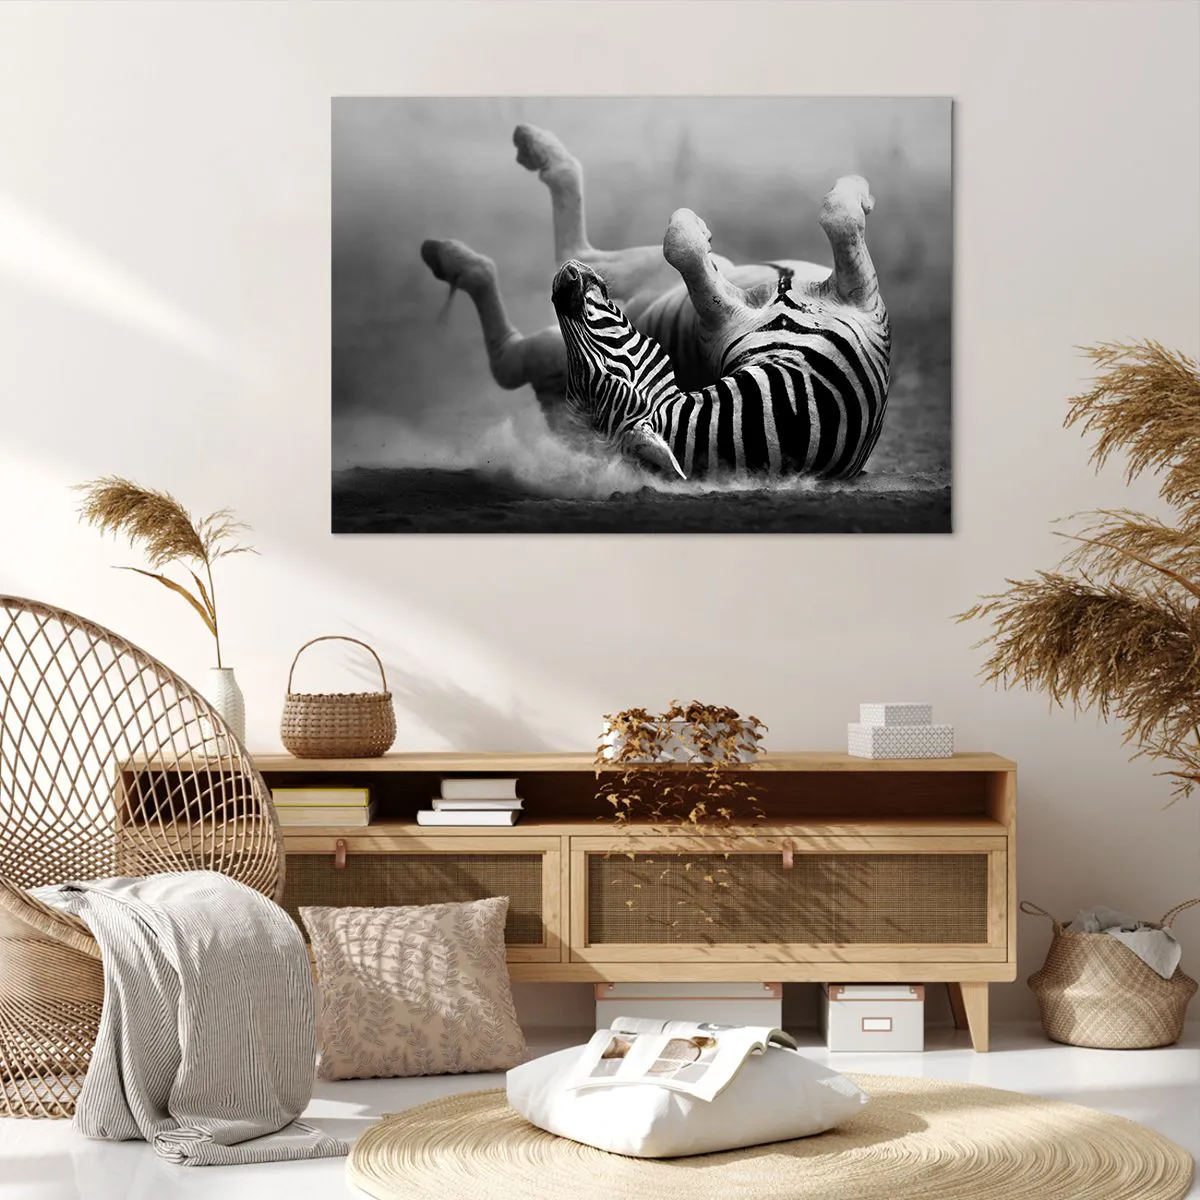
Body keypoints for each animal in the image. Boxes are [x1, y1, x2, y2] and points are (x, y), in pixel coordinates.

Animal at [420, 123, 890, 480]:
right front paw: (696, 227)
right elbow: (686, 245)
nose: (565, 289)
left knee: (532, 321)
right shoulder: (724, 316)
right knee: (555, 282)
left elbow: (838, 219)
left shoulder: (861, 300)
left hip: (607, 290)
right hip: (622, 281)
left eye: (609, 370)